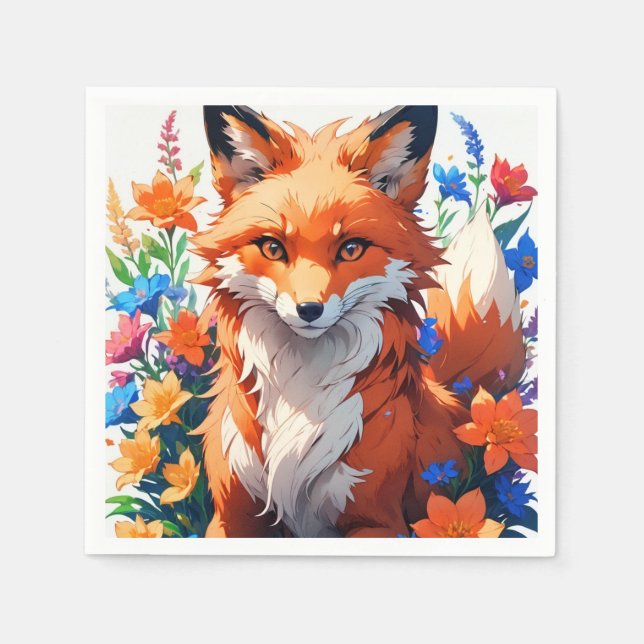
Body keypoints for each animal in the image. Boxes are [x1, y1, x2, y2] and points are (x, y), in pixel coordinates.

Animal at [191, 105, 525, 538]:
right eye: (273, 247)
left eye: (350, 249)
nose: (309, 310)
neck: (299, 394)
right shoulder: (232, 519)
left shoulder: (377, 520)